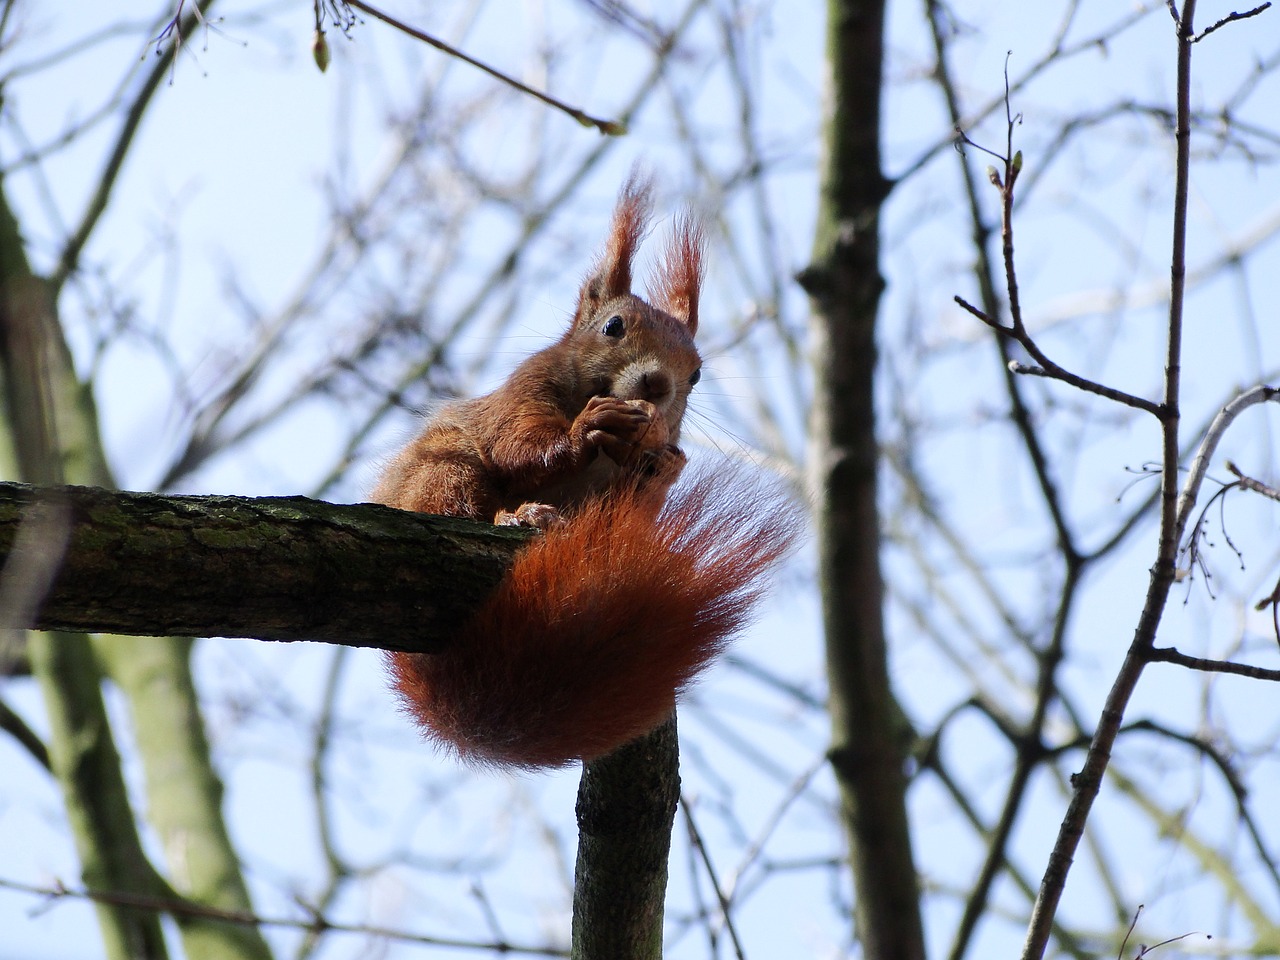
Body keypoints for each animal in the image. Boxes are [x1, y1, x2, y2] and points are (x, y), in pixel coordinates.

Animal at [366, 175, 793, 773]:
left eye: (697, 373)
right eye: (613, 327)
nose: (658, 384)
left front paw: (664, 468)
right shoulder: (522, 393)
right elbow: (517, 446)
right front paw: (586, 428)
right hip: (441, 472)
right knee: (458, 502)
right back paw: (519, 516)